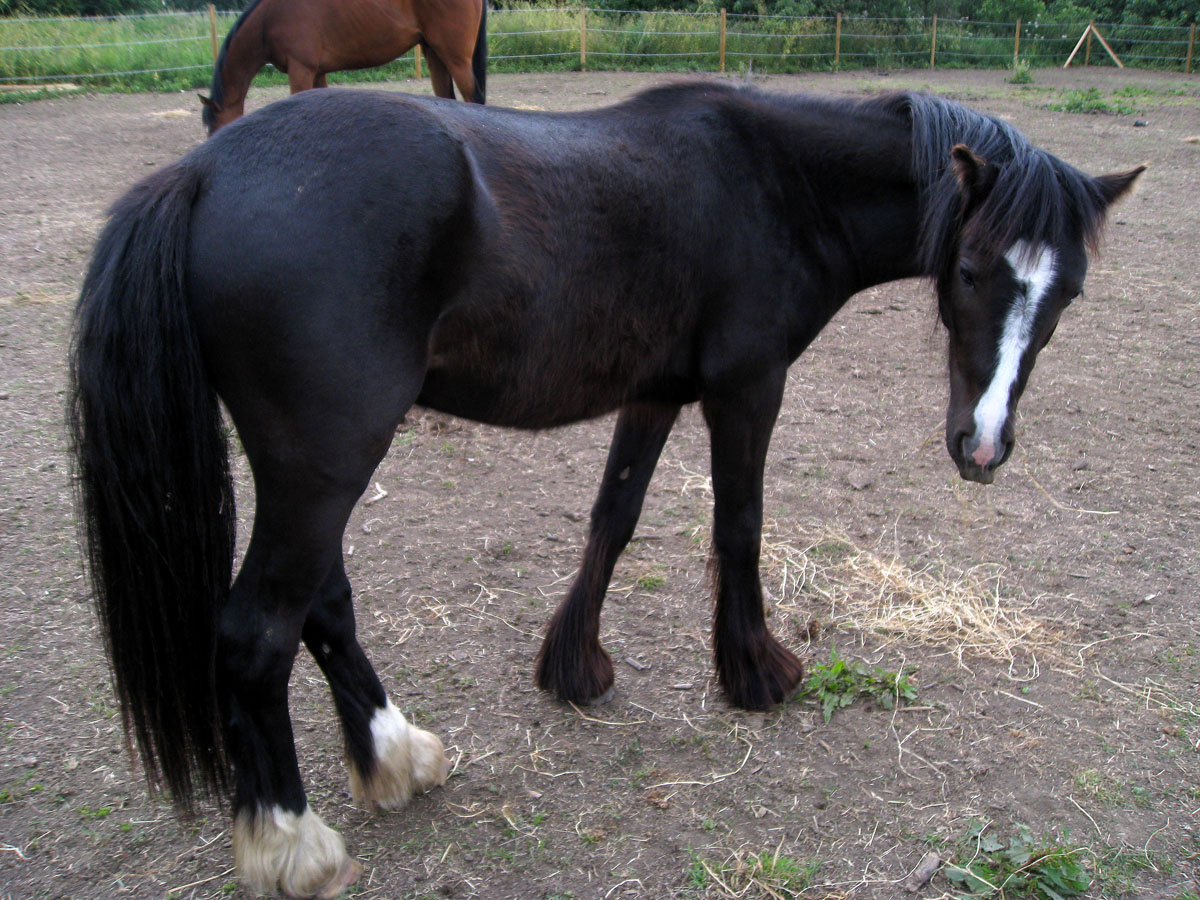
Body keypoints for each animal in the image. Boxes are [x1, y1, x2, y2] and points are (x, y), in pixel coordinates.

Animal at [69, 81, 1142, 898]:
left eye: (1069, 292)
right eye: (970, 269)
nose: (983, 446)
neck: (777, 182)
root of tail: (203, 172)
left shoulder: (656, 392)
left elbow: (614, 519)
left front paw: (574, 667)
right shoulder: (747, 387)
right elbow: (738, 524)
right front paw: (755, 673)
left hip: (312, 468)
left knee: (322, 604)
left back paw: (395, 753)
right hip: (326, 462)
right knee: (258, 632)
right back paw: (292, 843)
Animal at [199, 0, 485, 135]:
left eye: (215, 128)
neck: (269, 19)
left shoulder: (301, 70)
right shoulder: (317, 72)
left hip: (456, 58)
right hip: (433, 53)